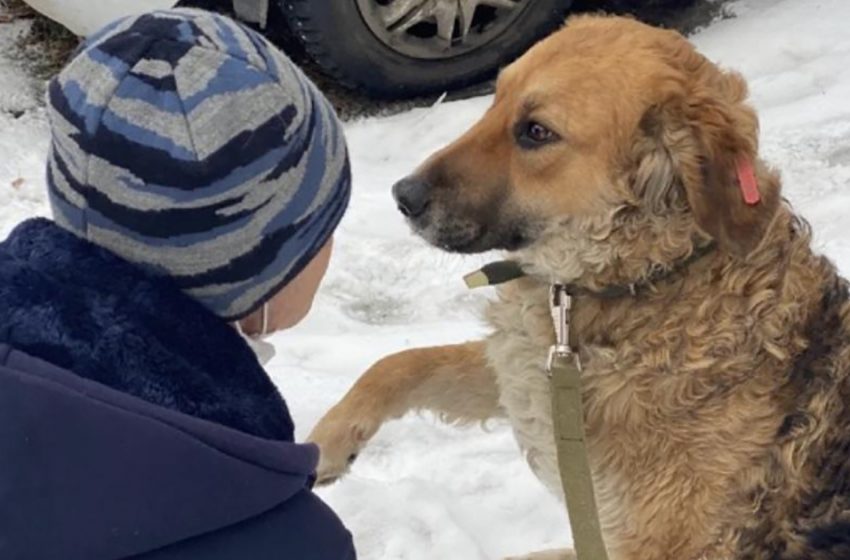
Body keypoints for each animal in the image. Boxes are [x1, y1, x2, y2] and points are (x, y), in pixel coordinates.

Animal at [304, 14, 848, 560]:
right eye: (495, 98)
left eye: (536, 132)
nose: (403, 195)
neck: (641, 282)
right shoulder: (525, 375)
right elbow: (401, 362)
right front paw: (331, 440)